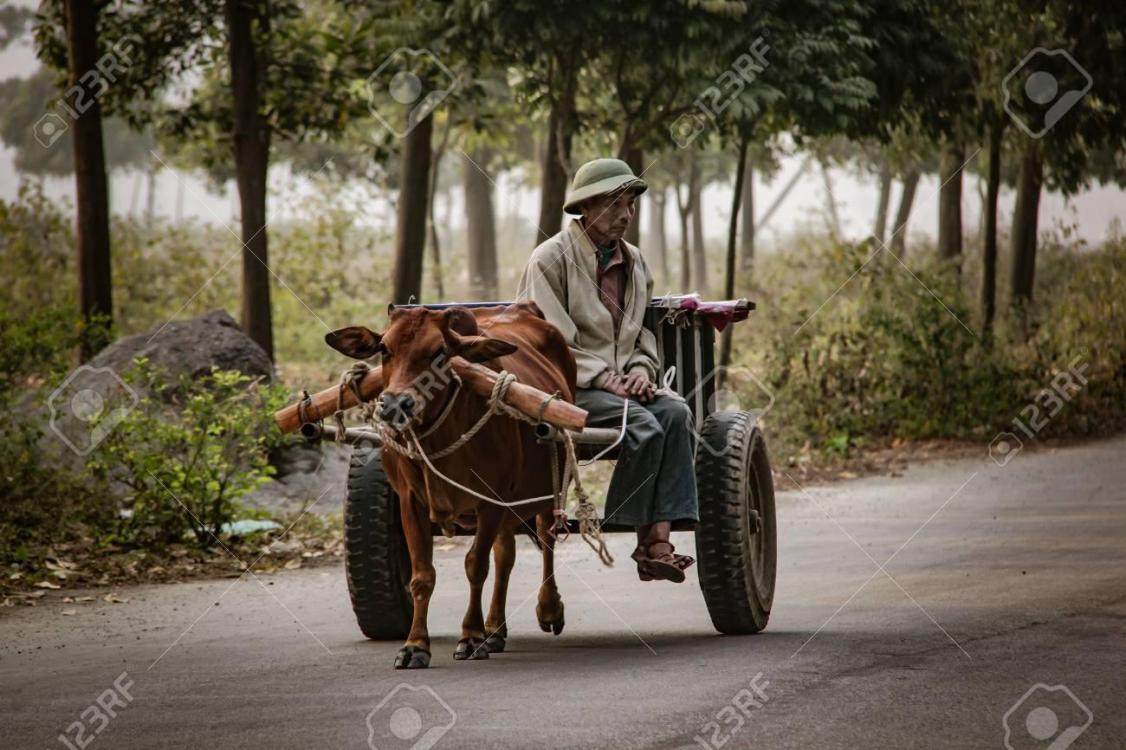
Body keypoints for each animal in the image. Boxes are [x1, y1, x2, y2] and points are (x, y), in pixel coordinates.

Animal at [324, 297, 572, 666]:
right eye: (384, 349)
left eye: (439, 351)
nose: (395, 404)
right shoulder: (410, 500)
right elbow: (422, 575)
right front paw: (415, 645)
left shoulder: (490, 499)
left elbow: (476, 565)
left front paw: (470, 636)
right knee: (506, 554)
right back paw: (495, 629)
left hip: (545, 484)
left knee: (545, 536)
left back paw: (548, 608)